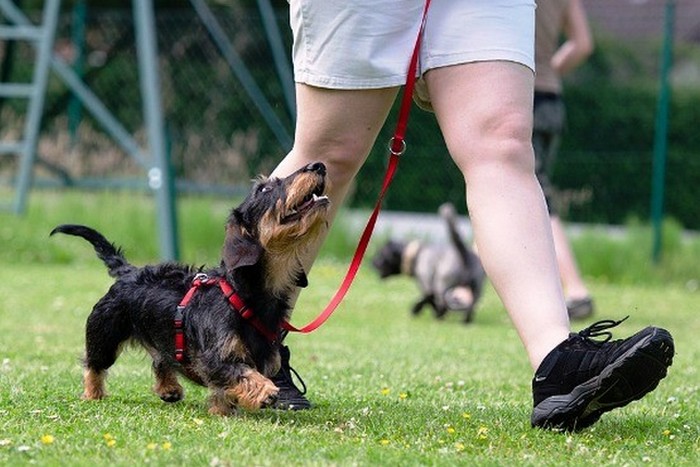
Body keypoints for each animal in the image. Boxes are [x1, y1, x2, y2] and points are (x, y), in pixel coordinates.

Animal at [52, 162, 330, 416]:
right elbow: (240, 373)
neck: (243, 294)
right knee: (94, 365)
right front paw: (265, 391)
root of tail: (129, 271)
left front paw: (222, 410)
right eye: (264, 189)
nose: (318, 165)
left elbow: (226, 388)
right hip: (104, 334)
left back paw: (169, 389)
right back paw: (92, 393)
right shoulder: (214, 359)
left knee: (161, 360)